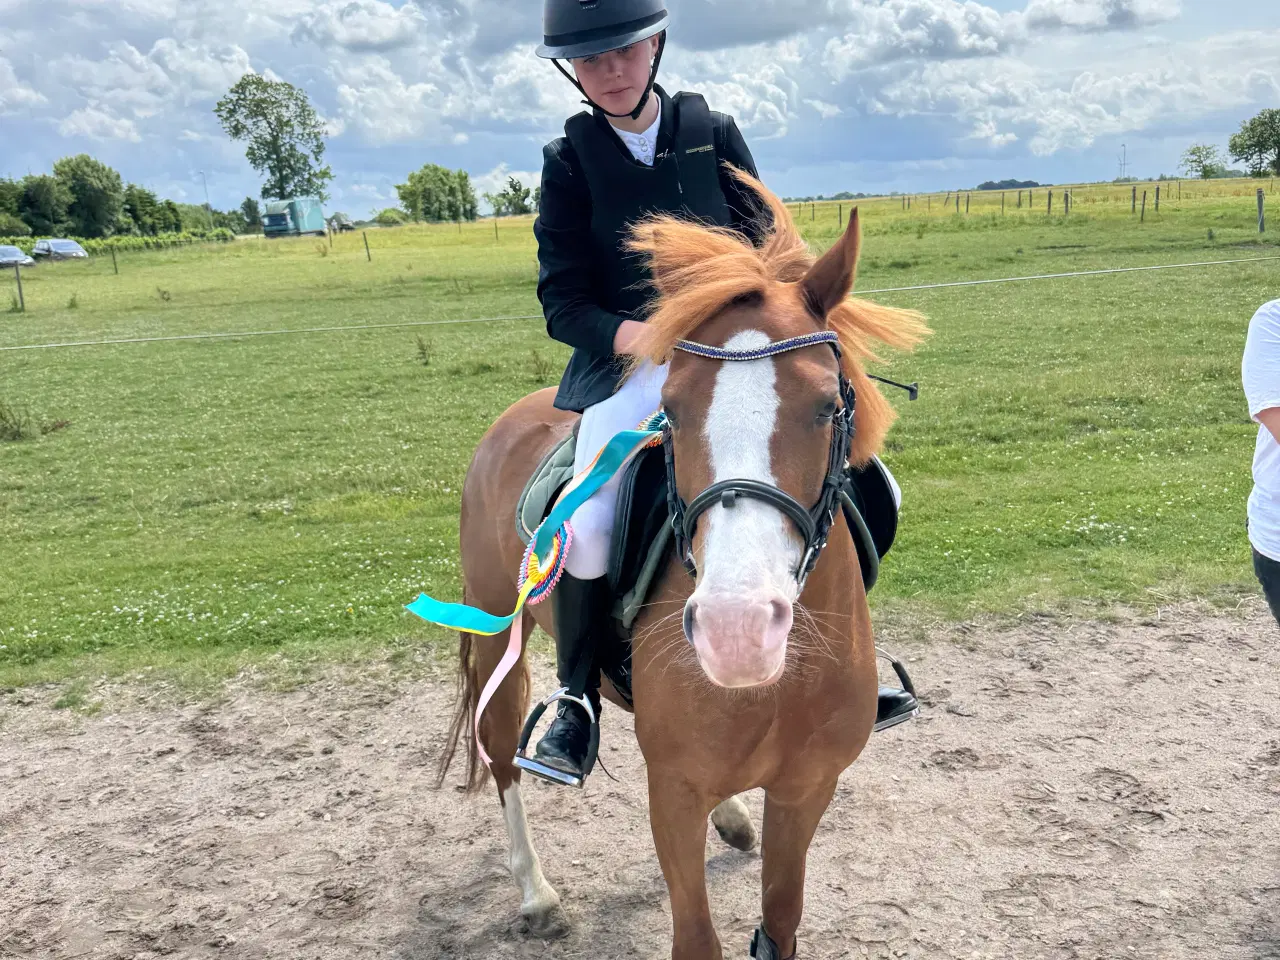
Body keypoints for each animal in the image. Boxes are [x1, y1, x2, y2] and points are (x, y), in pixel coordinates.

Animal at [435, 172, 927, 959]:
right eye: (670, 407)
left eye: (828, 406)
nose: (737, 633)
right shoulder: (673, 792)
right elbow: (697, 938)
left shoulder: (807, 788)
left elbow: (780, 923)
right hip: (495, 636)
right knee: (500, 747)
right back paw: (537, 891)